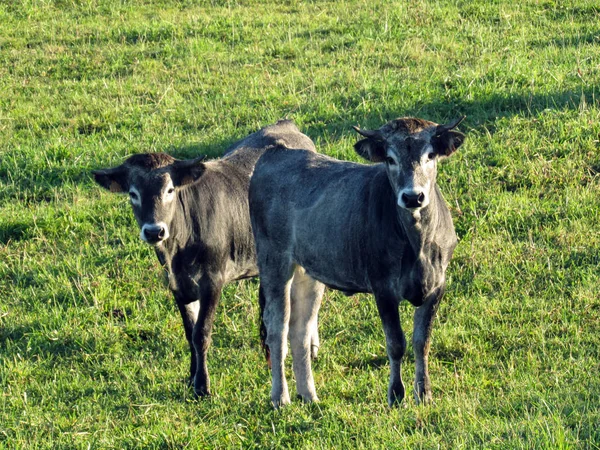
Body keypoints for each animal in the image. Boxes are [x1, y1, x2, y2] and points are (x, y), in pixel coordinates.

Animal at [91, 119, 316, 398]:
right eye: (133, 193)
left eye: (170, 189)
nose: (154, 231)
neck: (178, 249)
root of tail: (286, 124)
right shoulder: (177, 284)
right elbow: (190, 332)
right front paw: (191, 377)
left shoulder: (213, 280)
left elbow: (202, 332)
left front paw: (203, 386)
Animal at [248, 115, 464, 408]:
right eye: (390, 159)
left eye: (430, 155)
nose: (412, 196)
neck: (417, 243)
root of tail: (275, 153)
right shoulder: (383, 288)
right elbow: (396, 343)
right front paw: (396, 395)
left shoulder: (437, 285)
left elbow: (422, 341)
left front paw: (424, 394)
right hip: (274, 263)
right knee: (277, 329)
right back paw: (281, 398)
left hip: (309, 272)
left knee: (300, 330)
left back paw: (310, 396)